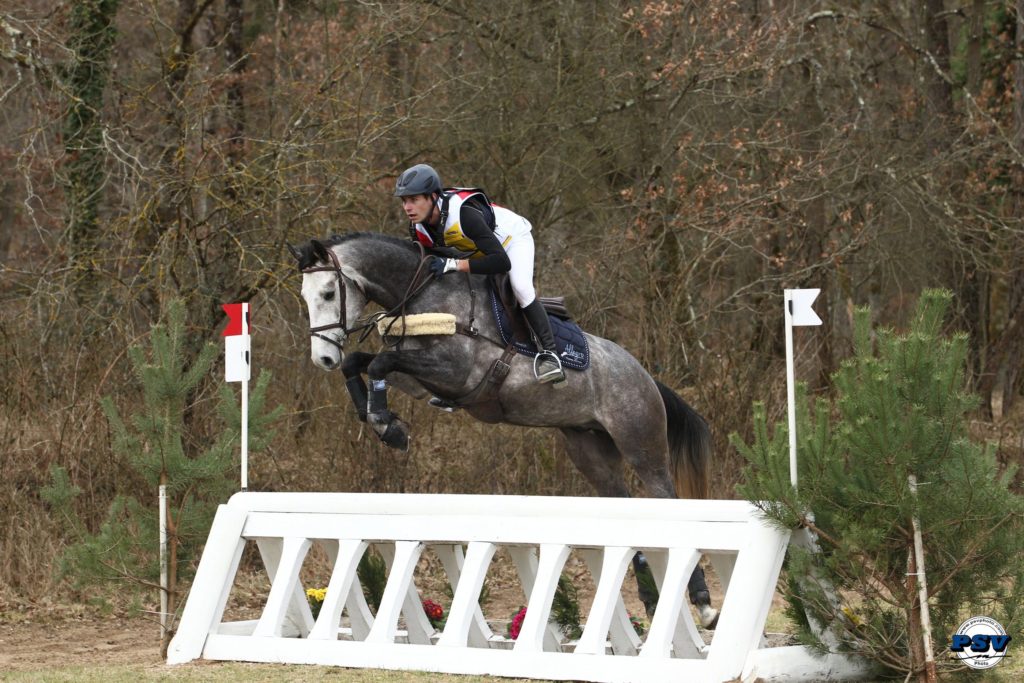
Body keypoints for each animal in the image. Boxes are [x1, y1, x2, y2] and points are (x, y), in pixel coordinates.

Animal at [288, 232, 720, 626]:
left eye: (328, 292)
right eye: (305, 297)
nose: (323, 357)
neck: (426, 295)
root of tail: (644, 376)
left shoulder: (455, 371)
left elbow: (378, 362)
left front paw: (387, 426)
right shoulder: (418, 376)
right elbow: (363, 362)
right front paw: (382, 422)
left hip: (641, 445)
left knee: (667, 499)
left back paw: (703, 604)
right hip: (590, 453)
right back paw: (650, 600)